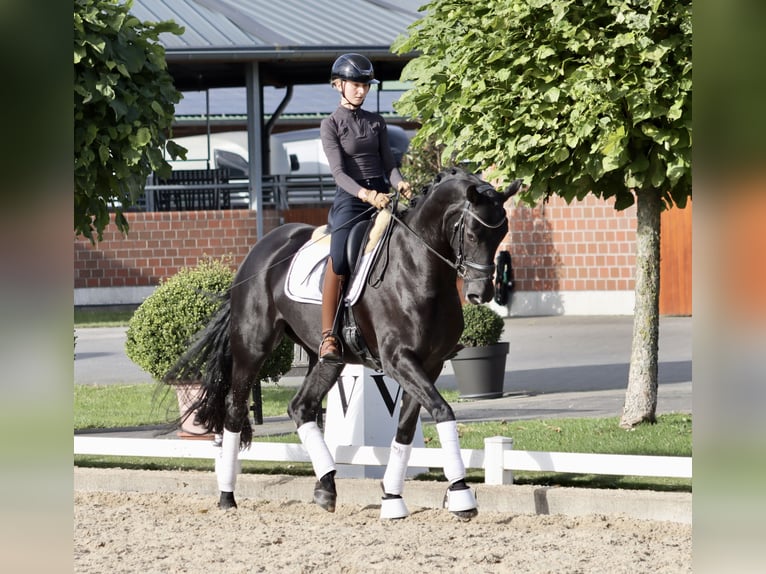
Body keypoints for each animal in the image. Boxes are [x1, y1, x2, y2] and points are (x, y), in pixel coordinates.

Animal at [170, 168, 520, 520]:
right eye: (473, 234)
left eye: (501, 233)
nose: (480, 294)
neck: (417, 268)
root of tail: (262, 247)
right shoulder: (398, 360)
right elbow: (442, 410)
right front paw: (462, 495)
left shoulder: (429, 364)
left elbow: (406, 429)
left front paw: (392, 499)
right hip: (252, 346)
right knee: (235, 410)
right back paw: (227, 496)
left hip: (326, 358)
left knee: (301, 406)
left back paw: (326, 486)